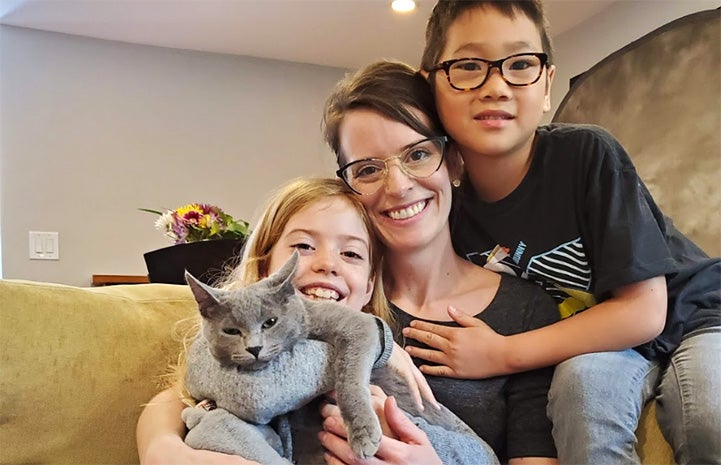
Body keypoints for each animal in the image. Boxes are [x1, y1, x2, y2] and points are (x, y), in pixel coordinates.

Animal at [180, 252, 498, 464]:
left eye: (270, 322)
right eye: (231, 331)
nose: (254, 348)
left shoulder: (358, 325)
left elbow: (348, 376)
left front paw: (362, 434)